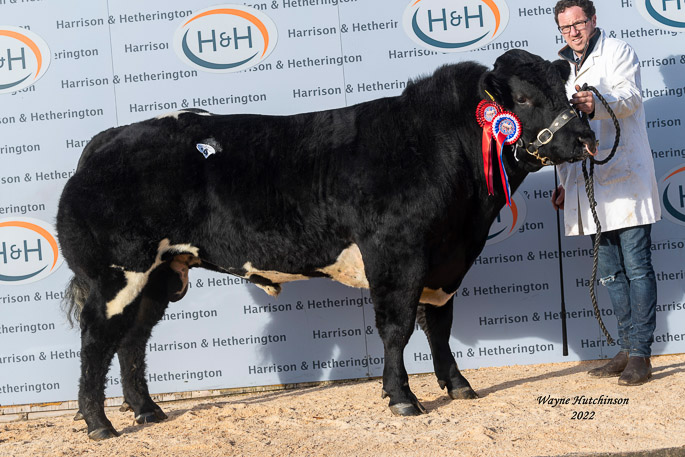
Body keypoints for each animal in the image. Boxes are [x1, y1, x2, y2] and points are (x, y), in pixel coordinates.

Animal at [56, 49, 596, 438]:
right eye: (523, 99)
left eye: (567, 90)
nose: (586, 138)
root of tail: (104, 142)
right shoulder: (396, 257)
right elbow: (398, 329)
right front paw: (403, 398)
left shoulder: (445, 263)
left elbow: (438, 326)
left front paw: (459, 385)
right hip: (115, 274)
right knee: (96, 341)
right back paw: (99, 424)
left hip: (159, 274)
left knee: (132, 341)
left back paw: (148, 412)